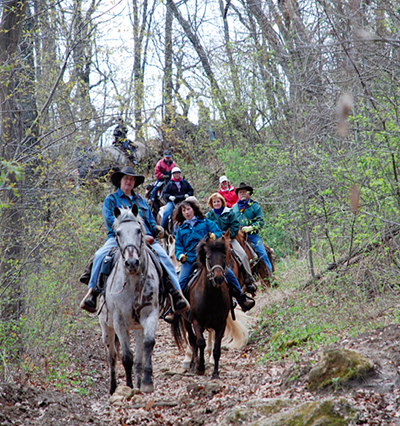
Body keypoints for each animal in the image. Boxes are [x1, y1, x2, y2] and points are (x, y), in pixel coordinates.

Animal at [173, 235, 233, 378]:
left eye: (223, 257)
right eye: (209, 258)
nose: (218, 278)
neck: (211, 297)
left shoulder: (221, 324)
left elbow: (217, 349)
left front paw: (215, 373)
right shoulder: (196, 321)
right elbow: (200, 342)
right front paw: (200, 366)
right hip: (186, 321)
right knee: (192, 339)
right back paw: (193, 364)